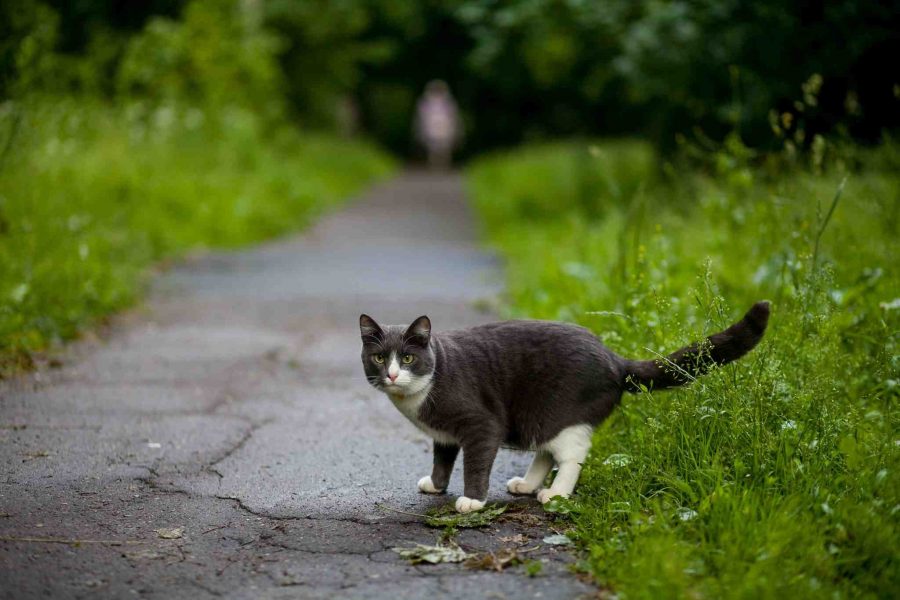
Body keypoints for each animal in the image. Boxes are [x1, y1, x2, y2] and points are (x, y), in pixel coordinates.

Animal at [356, 302, 768, 512]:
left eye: (408, 358)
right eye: (378, 358)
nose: (391, 374)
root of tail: (615, 360)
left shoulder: (480, 423)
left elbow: (474, 462)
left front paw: (472, 499)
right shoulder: (444, 433)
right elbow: (442, 457)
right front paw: (437, 485)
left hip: (561, 412)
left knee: (572, 453)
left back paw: (554, 493)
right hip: (542, 418)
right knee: (545, 451)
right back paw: (527, 484)